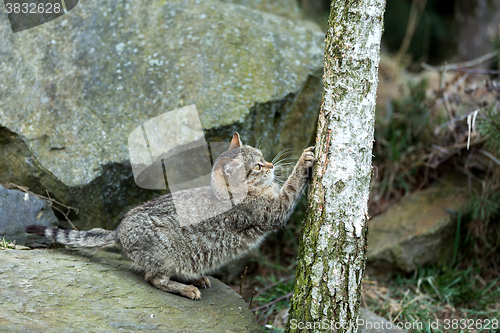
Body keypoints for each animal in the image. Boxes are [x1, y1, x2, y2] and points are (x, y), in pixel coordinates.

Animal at [25, 132, 314, 298]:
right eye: (257, 166)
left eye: (263, 157)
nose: (272, 165)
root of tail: (119, 230)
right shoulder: (274, 211)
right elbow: (292, 186)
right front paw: (304, 160)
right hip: (165, 255)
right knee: (154, 278)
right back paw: (187, 288)